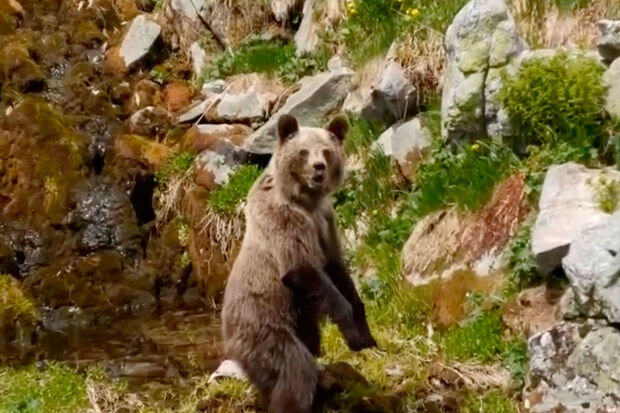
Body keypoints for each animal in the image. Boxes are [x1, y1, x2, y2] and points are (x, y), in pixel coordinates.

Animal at [223, 113, 378, 412]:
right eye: (303, 151)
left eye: (326, 151)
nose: (319, 168)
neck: (306, 200)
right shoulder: (284, 220)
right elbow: (302, 268)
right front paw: (351, 331)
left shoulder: (325, 220)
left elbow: (338, 270)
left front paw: (365, 334)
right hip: (265, 324)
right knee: (293, 368)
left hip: (300, 321)